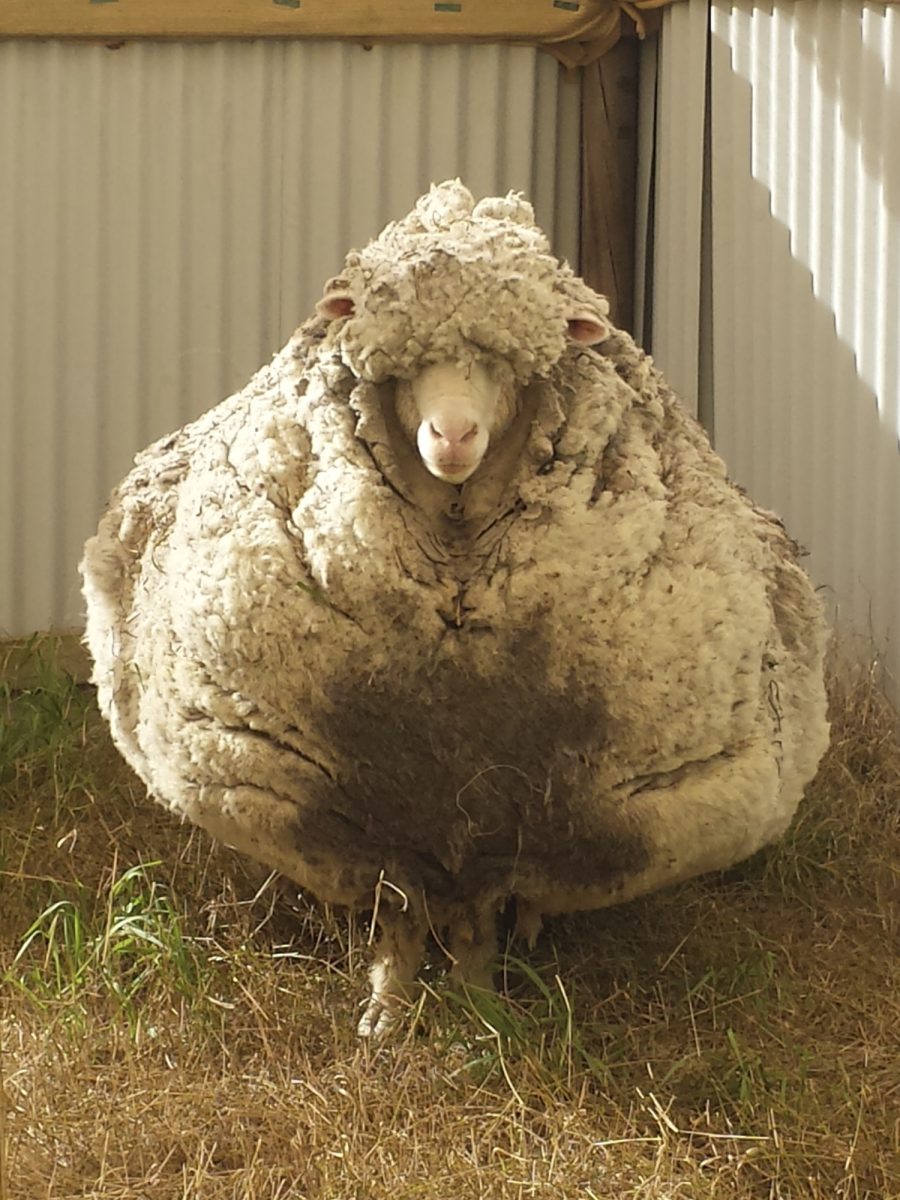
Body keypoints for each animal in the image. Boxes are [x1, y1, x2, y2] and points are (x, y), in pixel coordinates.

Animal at [81, 180, 835, 1041]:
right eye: (405, 370)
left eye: (505, 367)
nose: (452, 435)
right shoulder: (372, 823)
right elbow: (399, 921)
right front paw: (384, 1019)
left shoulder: (512, 834)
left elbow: (481, 925)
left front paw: (480, 1018)